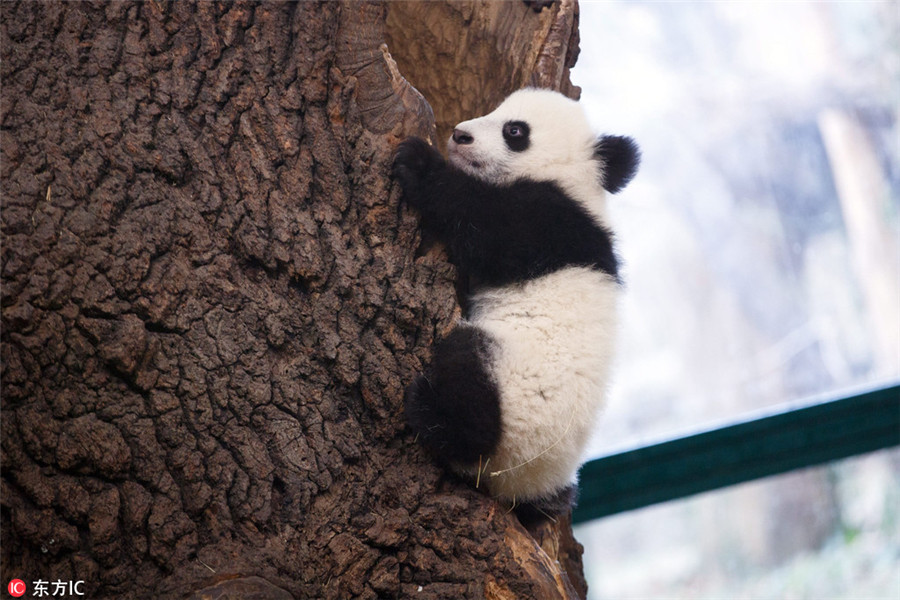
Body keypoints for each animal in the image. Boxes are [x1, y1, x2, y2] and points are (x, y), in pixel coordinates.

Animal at [393, 88, 639, 523]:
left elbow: (485, 225)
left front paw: (419, 163)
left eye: (515, 131)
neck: (569, 180)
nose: (459, 135)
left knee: (469, 377)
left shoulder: (549, 224)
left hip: (514, 392)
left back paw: (435, 413)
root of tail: (521, 483)